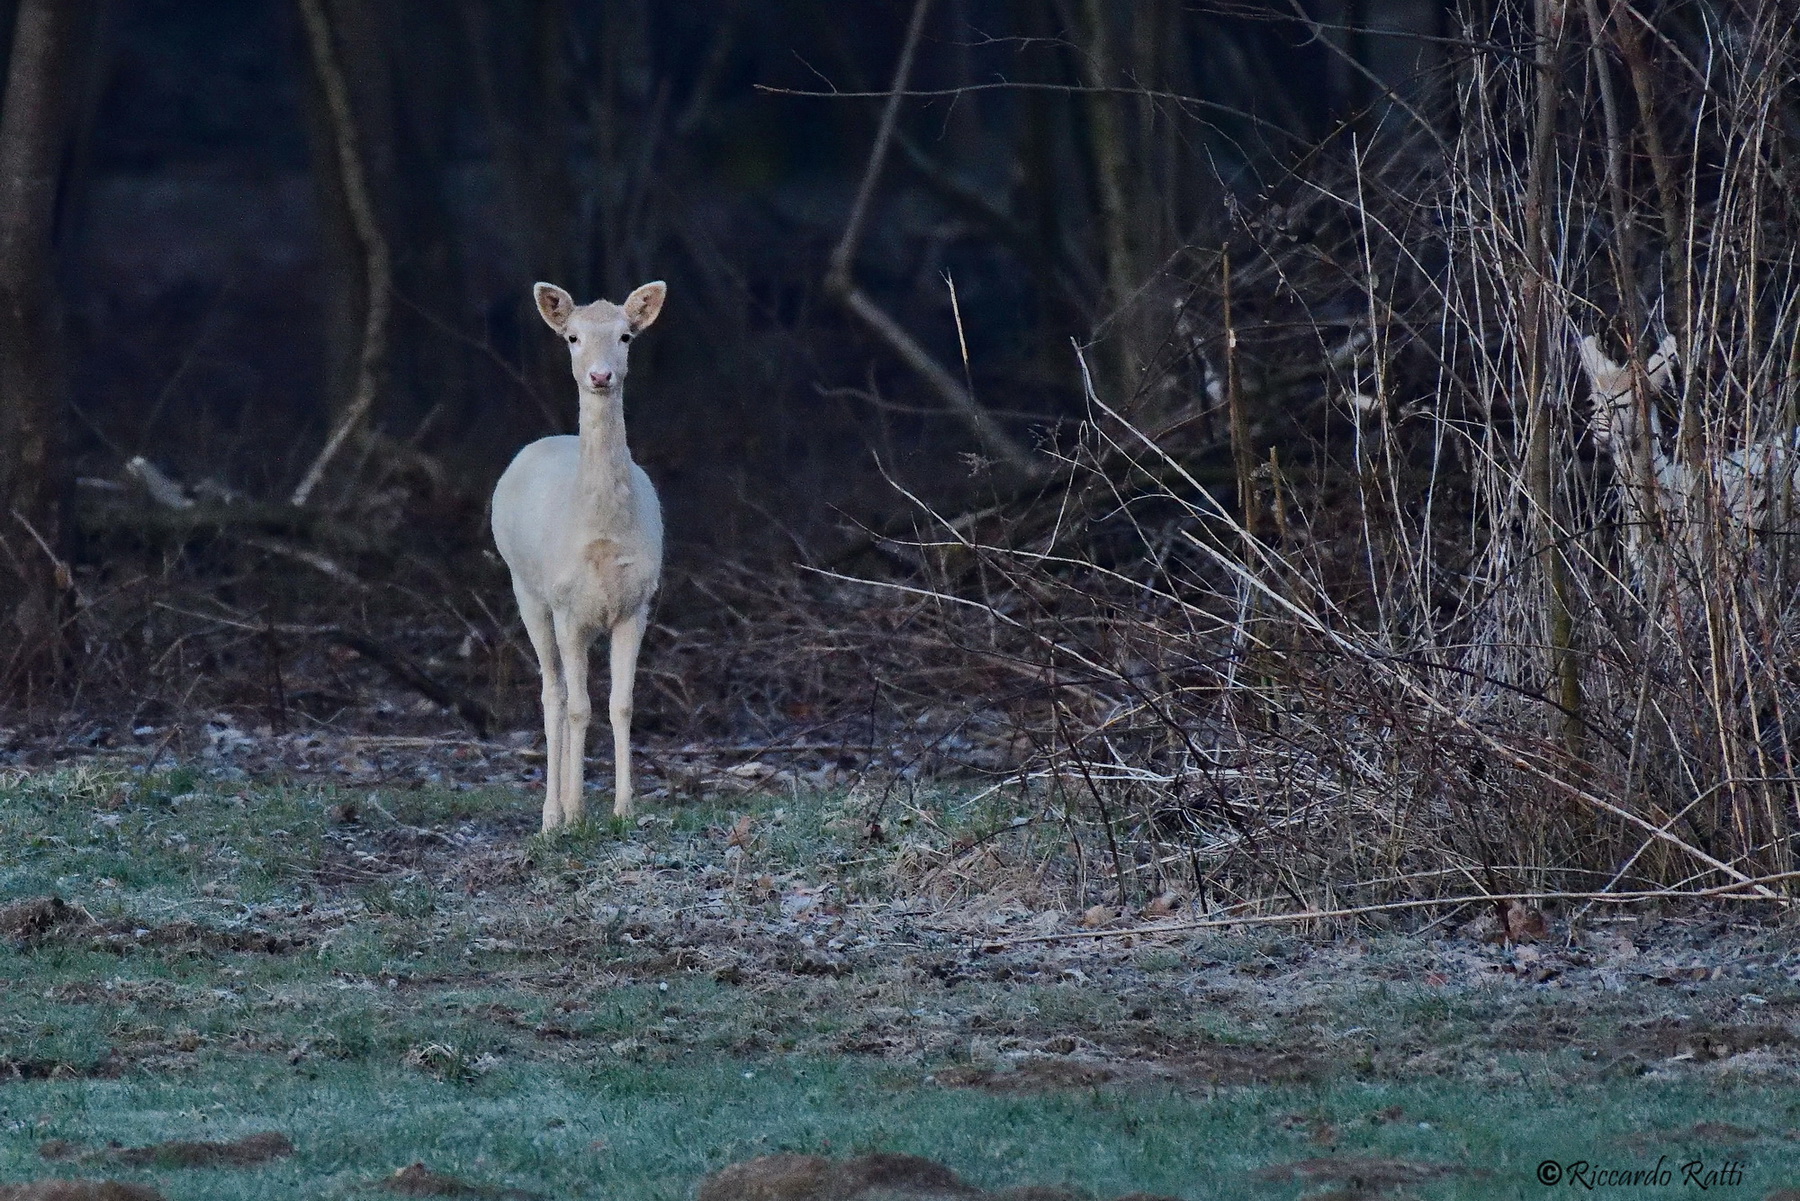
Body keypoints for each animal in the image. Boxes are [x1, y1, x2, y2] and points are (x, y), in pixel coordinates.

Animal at [492, 281, 666, 830]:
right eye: (572, 337)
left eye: (626, 335)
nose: (600, 375)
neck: (603, 536)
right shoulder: (567, 604)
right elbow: (576, 707)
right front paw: (573, 812)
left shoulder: (636, 604)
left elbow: (621, 704)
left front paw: (623, 808)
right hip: (526, 589)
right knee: (554, 693)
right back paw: (552, 814)